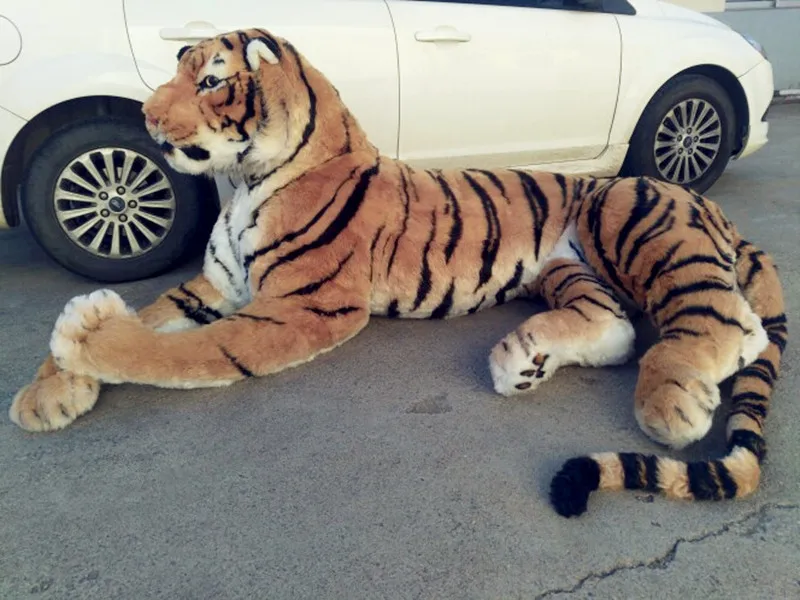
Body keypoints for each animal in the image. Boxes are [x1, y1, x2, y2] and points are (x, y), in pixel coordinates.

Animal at [8, 28, 786, 518]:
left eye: (208, 82)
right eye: (178, 74)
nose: (143, 114)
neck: (248, 180)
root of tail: (702, 200)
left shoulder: (299, 305)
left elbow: (178, 352)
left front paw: (83, 333)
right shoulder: (215, 287)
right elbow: (152, 320)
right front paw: (46, 393)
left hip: (632, 218)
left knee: (727, 325)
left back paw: (673, 401)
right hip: (571, 272)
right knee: (622, 329)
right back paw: (521, 359)